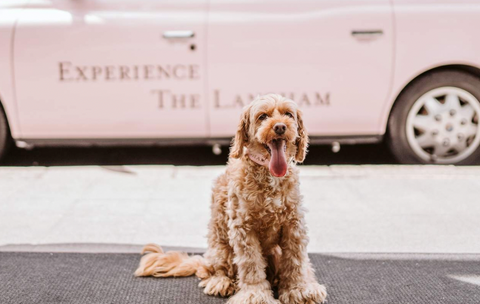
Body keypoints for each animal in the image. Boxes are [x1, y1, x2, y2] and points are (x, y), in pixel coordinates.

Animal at [135, 94, 326, 302]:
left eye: (289, 114)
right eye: (262, 116)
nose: (280, 127)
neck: (268, 177)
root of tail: (204, 260)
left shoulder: (293, 225)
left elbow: (295, 260)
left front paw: (299, 289)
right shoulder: (243, 228)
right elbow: (251, 264)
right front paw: (255, 294)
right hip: (221, 250)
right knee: (213, 271)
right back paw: (221, 282)